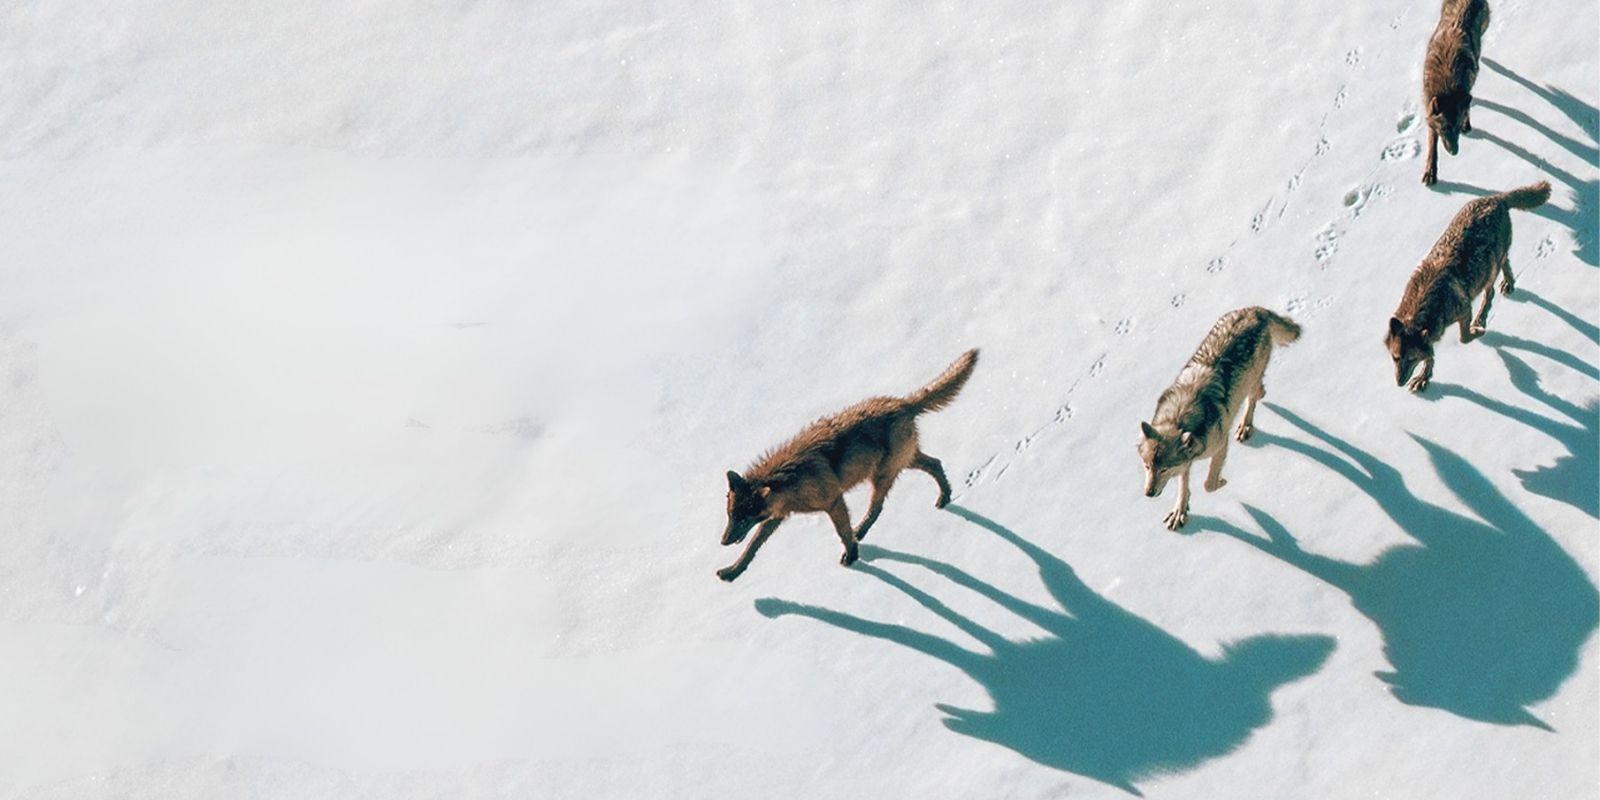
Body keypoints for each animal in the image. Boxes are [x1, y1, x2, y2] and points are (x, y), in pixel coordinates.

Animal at [717, 349, 979, 582]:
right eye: (731, 515)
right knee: (935, 463)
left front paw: (851, 556)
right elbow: (752, 546)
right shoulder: (775, 518)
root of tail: (904, 403)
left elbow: (842, 532)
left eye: (743, 519)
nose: (723, 541)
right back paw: (944, 498)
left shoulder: (834, 501)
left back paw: (861, 531)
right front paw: (732, 572)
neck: (789, 480)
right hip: (905, 462)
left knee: (877, 507)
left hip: (882, 475)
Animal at [1139, 307, 1301, 531]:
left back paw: (1245, 425)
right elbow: (1183, 487)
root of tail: (1255, 310)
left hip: (1250, 380)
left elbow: (1209, 484)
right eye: (1147, 466)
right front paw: (1179, 512)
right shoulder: (1185, 463)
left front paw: (1222, 482)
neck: (1178, 418)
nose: (1148, 493)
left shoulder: (1220, 445)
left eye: (1164, 469)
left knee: (1253, 396)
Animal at [1387, 180, 1550, 392]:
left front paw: (1477, 331)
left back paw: (1485, 314)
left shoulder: (1464, 310)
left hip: (1489, 270)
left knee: (1491, 291)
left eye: (1412, 358)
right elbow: (1430, 356)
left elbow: (1463, 339)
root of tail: (1497, 198)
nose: (1399, 383)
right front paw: (1423, 378)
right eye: (1396, 357)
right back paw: (1507, 285)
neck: (1423, 305)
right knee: (1505, 263)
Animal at [1421, 0, 1491, 186]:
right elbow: (1432, 144)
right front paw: (1430, 172)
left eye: (1457, 128)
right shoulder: (1429, 108)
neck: (1447, 88)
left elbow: (1466, 108)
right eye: (1445, 128)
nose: (1455, 153)